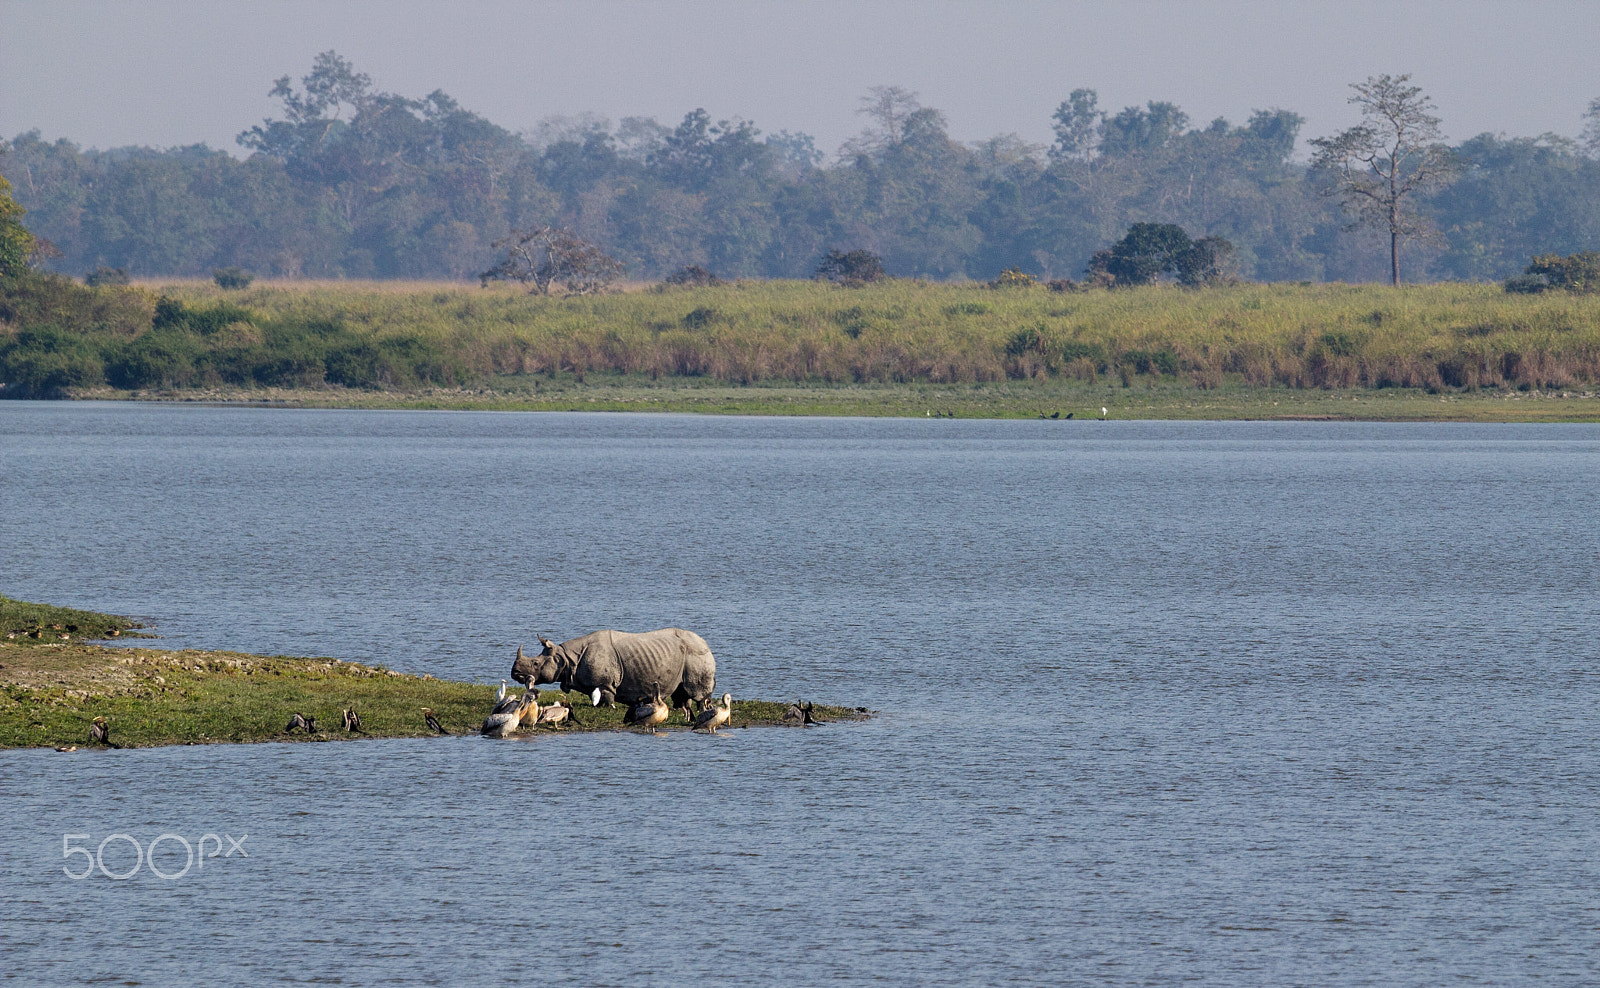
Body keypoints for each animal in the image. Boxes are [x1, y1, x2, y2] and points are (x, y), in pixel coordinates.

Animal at [511, 628, 716, 710]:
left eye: (535, 664)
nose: (515, 674)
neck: (566, 658)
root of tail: (706, 641)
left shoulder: (605, 683)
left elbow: (607, 695)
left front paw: (607, 707)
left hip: (697, 653)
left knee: (695, 689)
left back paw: (701, 708)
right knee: (681, 689)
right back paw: (679, 708)